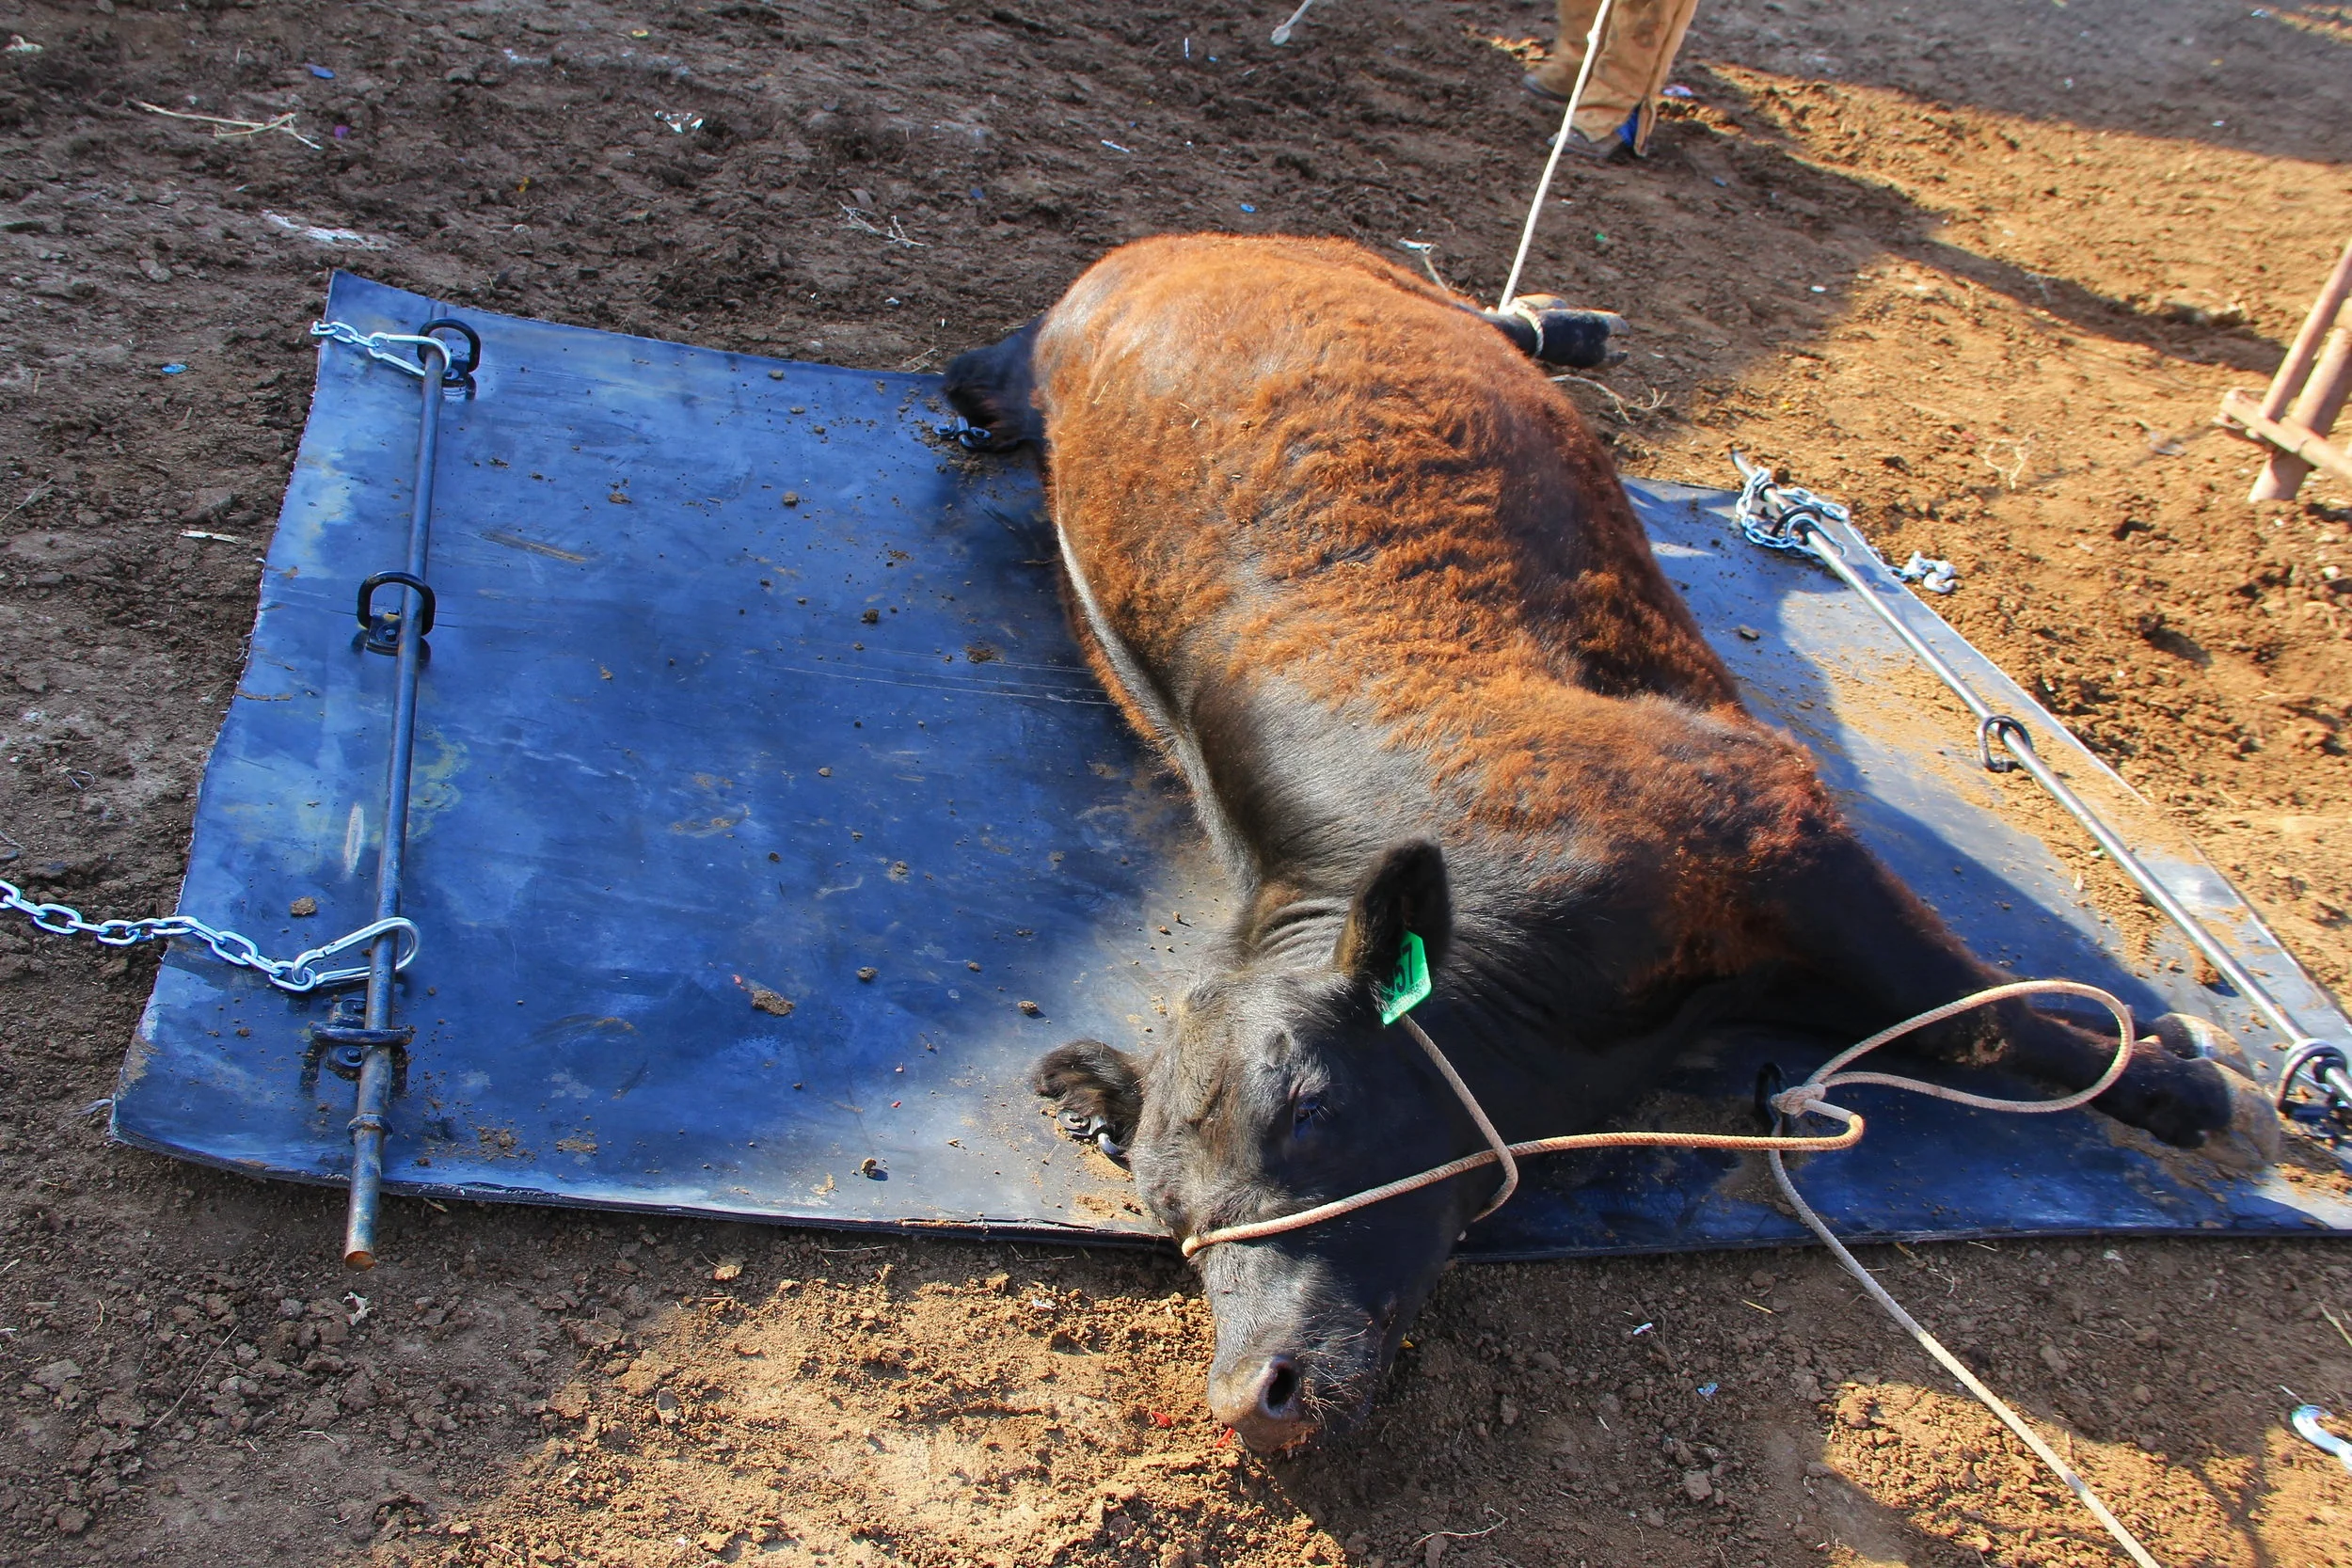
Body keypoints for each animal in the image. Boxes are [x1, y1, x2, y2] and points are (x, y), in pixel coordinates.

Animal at [942, 234, 2232, 1454]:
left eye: (1310, 1100)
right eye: (1172, 1213)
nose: (1256, 1393)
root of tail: (1118, 278)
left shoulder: (1773, 827)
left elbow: (1974, 1015)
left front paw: (2174, 1080)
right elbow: (1958, 1020)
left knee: (1482, 311)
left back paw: (1570, 321)